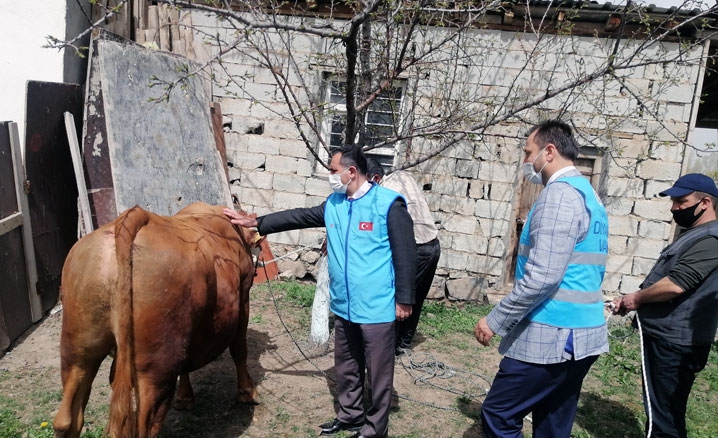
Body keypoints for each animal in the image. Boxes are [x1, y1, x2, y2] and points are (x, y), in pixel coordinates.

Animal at [54, 204, 262, 436]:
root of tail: (133, 217)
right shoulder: (243, 295)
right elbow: (239, 348)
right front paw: (247, 392)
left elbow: (187, 362)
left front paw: (185, 398)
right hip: (156, 367)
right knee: (145, 426)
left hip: (78, 351)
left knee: (66, 420)